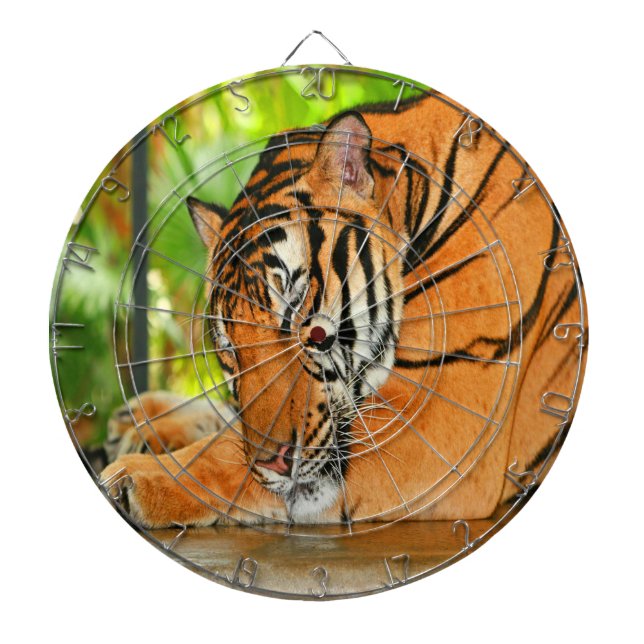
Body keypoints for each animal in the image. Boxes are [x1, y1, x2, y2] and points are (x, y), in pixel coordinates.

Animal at [100, 91, 586, 530]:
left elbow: (225, 453)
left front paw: (134, 475)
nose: (273, 462)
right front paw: (144, 419)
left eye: (307, 324)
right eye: (230, 354)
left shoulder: (436, 421)